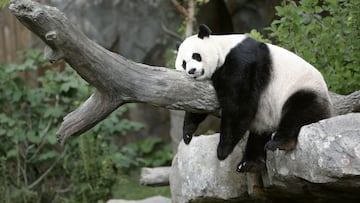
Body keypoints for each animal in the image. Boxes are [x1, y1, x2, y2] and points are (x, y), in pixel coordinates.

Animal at [174, 24, 332, 173]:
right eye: (183, 63)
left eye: (196, 56)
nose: (192, 71)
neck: (222, 48)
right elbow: (199, 103)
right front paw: (187, 134)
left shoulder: (241, 61)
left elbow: (238, 103)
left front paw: (222, 150)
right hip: (266, 117)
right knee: (259, 134)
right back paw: (250, 163)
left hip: (302, 89)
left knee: (298, 112)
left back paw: (280, 143)